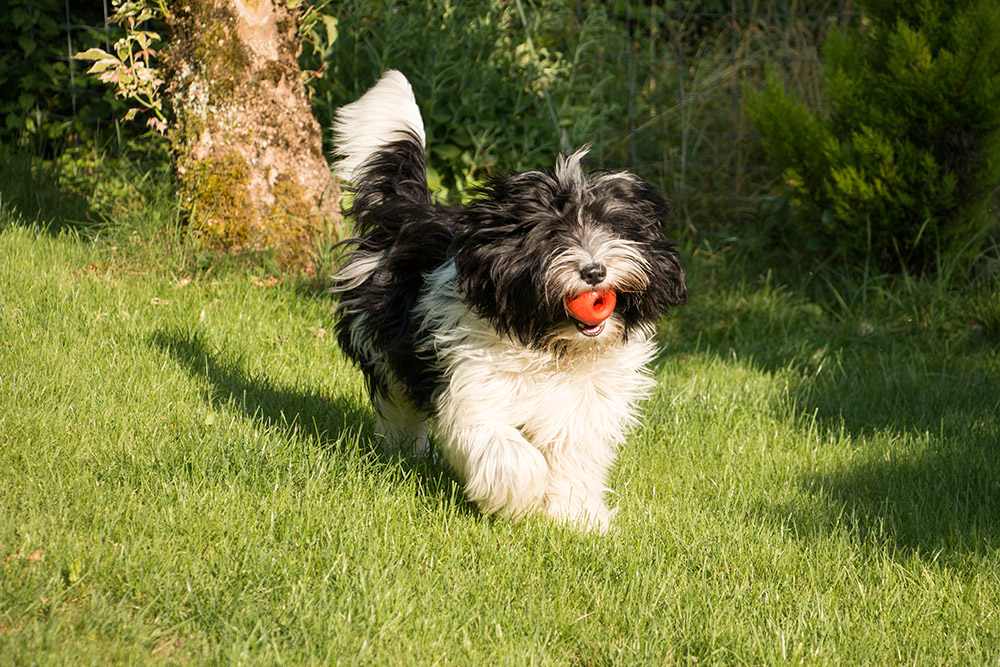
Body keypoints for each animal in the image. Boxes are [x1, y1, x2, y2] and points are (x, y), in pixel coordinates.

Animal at [332, 72, 684, 532]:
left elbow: (572, 458)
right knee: (397, 402)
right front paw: (517, 498)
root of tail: (413, 215)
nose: (594, 272)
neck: (551, 343)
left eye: (614, 226)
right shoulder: (474, 387)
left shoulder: (582, 407)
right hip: (383, 343)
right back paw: (401, 450)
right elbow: (508, 450)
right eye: (552, 233)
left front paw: (576, 517)